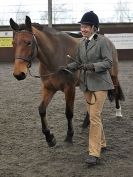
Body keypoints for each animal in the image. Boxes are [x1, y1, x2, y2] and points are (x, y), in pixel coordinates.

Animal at [9, 16, 124, 147]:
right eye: (13, 43)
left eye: (29, 42)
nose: (18, 74)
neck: (55, 57)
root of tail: (108, 41)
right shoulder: (49, 88)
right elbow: (41, 110)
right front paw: (49, 137)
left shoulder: (70, 88)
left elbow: (68, 112)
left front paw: (69, 135)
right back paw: (86, 122)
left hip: (112, 76)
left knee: (115, 91)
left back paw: (118, 113)